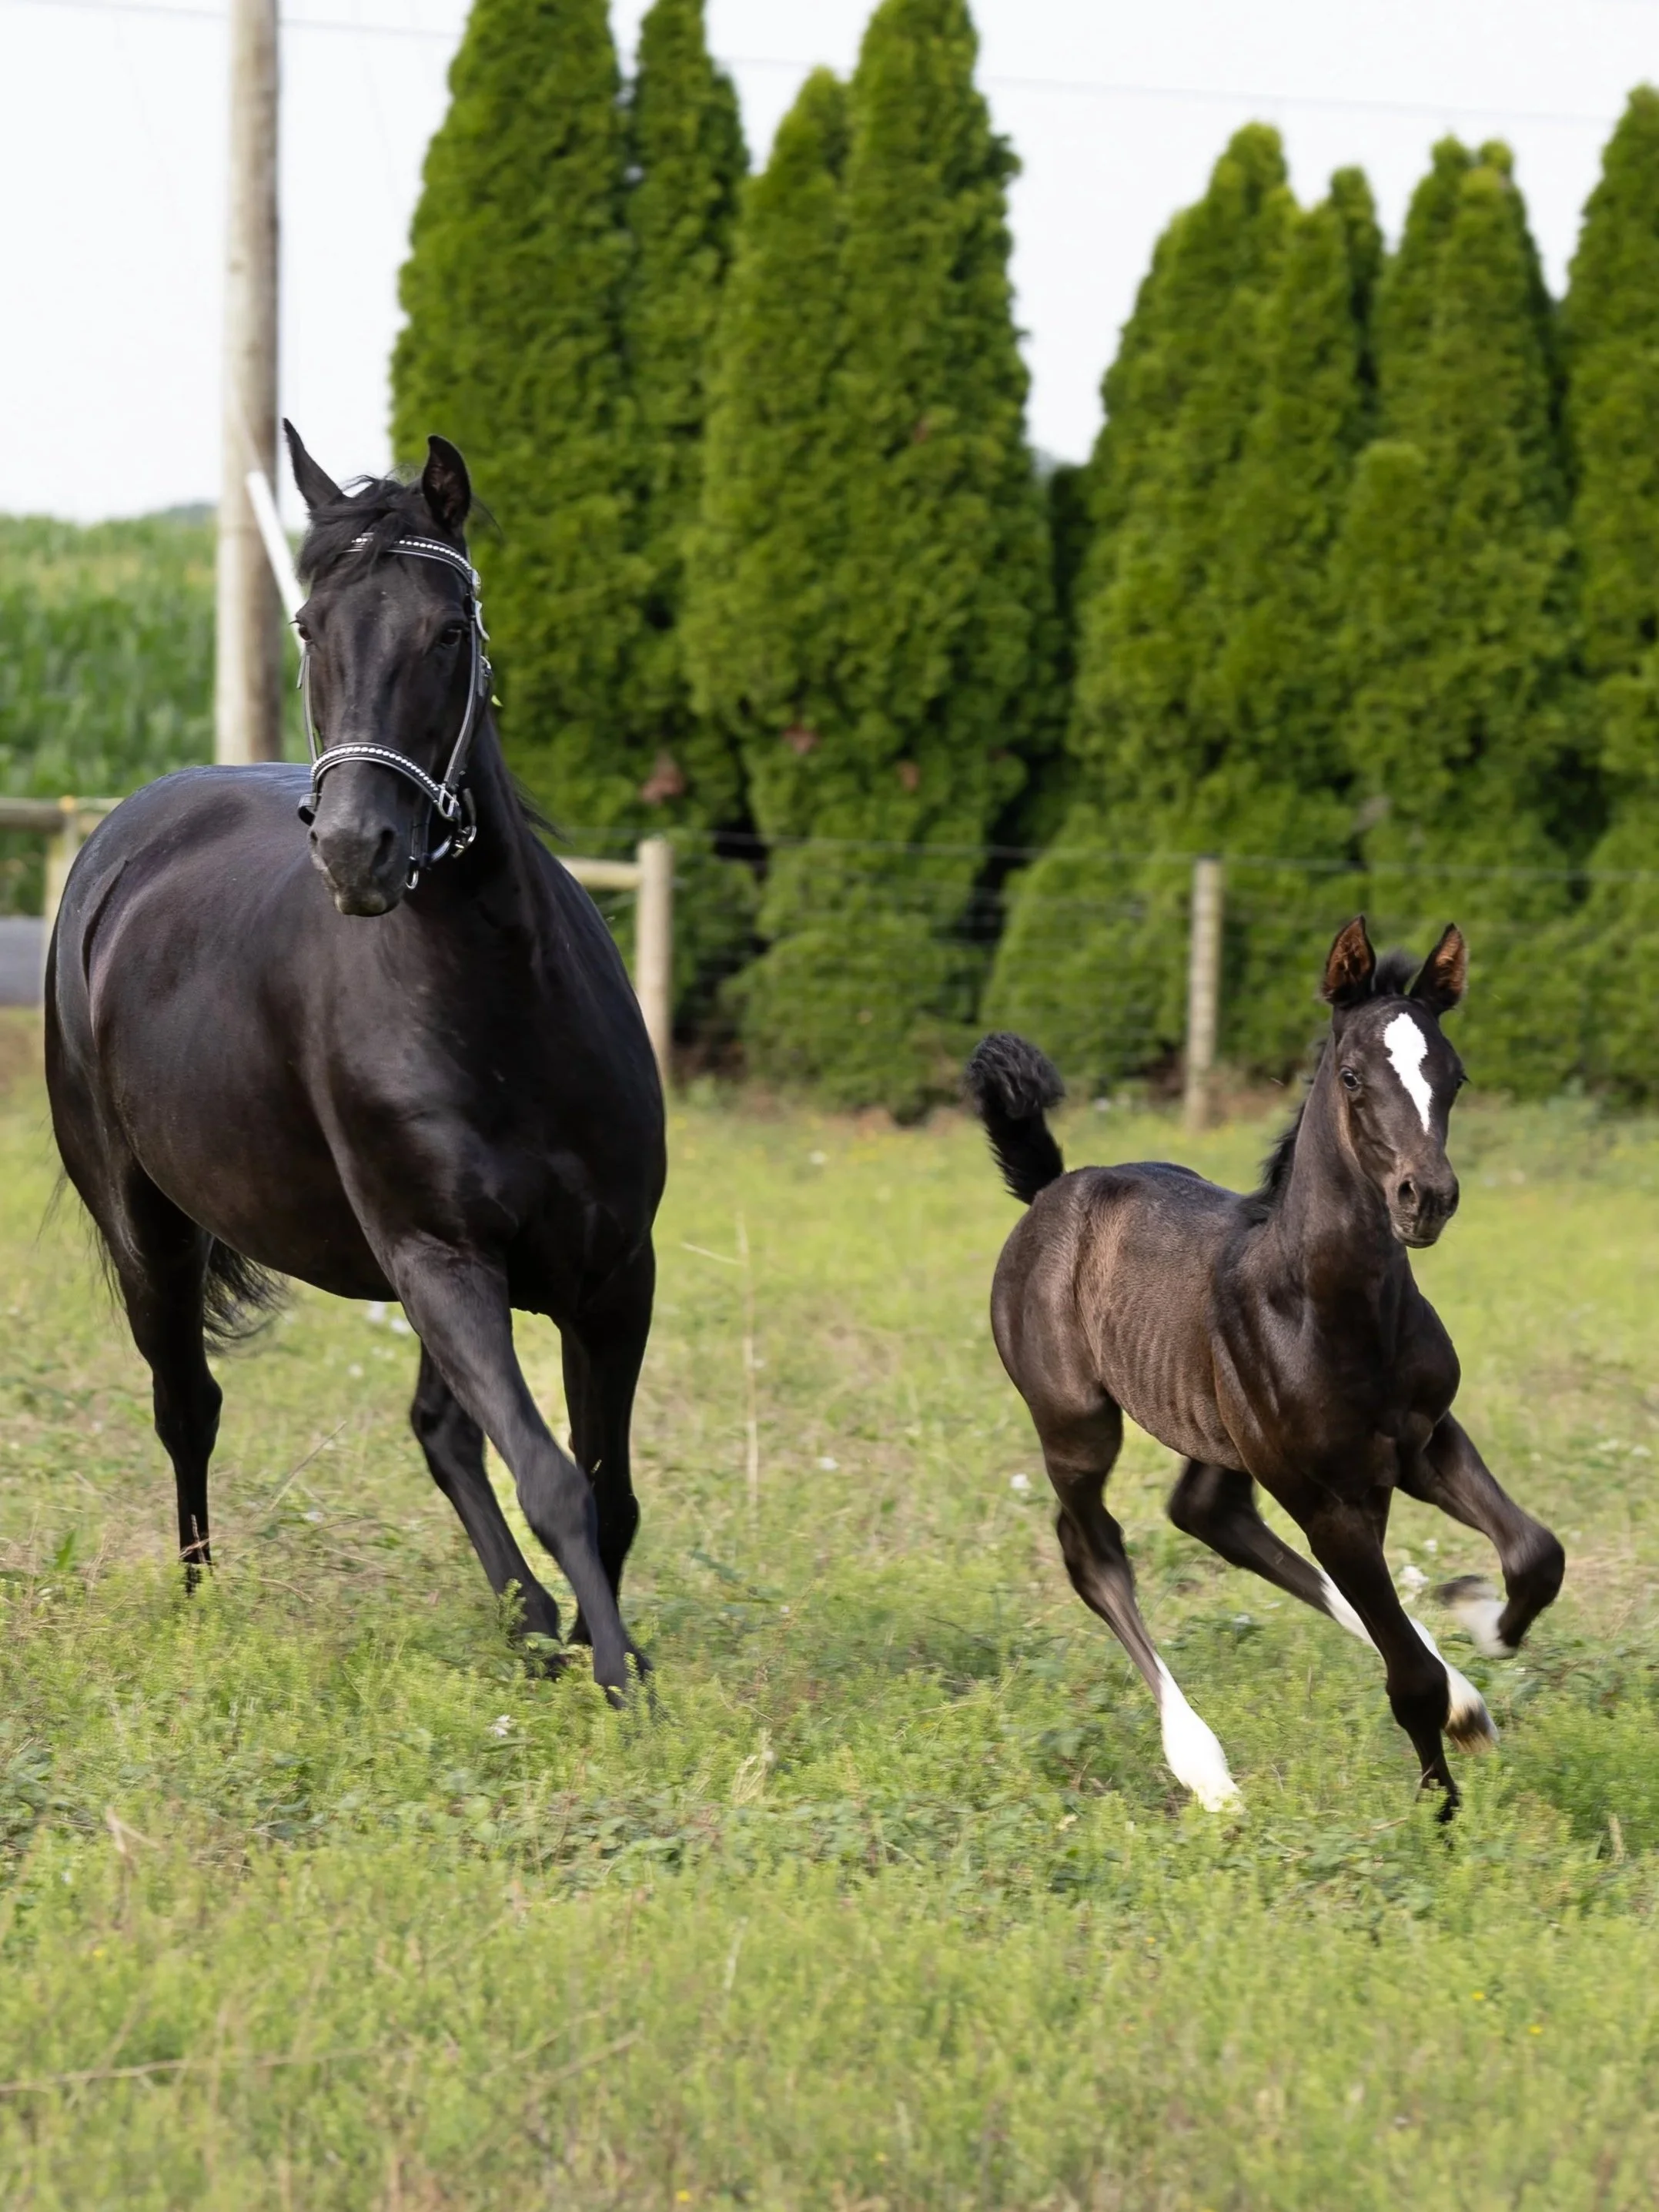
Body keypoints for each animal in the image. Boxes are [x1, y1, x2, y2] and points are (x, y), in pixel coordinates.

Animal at [44, 426, 663, 1697]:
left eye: (448, 629)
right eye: (308, 627)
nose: (355, 850)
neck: (500, 1012)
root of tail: (120, 841)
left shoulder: (611, 1273)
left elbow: (605, 1487)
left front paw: (598, 1644)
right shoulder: (441, 1262)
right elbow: (555, 1480)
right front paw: (620, 1680)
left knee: (439, 1432)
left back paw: (529, 1620)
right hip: (148, 1233)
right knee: (187, 1404)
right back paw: (200, 1602)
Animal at [965, 918, 1564, 1817]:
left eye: (1452, 1075)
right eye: (1352, 1076)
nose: (1425, 1197)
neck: (1329, 1308)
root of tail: (1051, 1188)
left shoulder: (1424, 1442)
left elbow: (1535, 1554)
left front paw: (1474, 1613)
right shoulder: (1327, 1496)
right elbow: (1407, 1677)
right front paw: (1442, 1812)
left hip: (1222, 1436)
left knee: (1207, 1513)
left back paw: (1463, 1698)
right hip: (1076, 1422)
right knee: (1092, 1550)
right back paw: (1204, 1768)